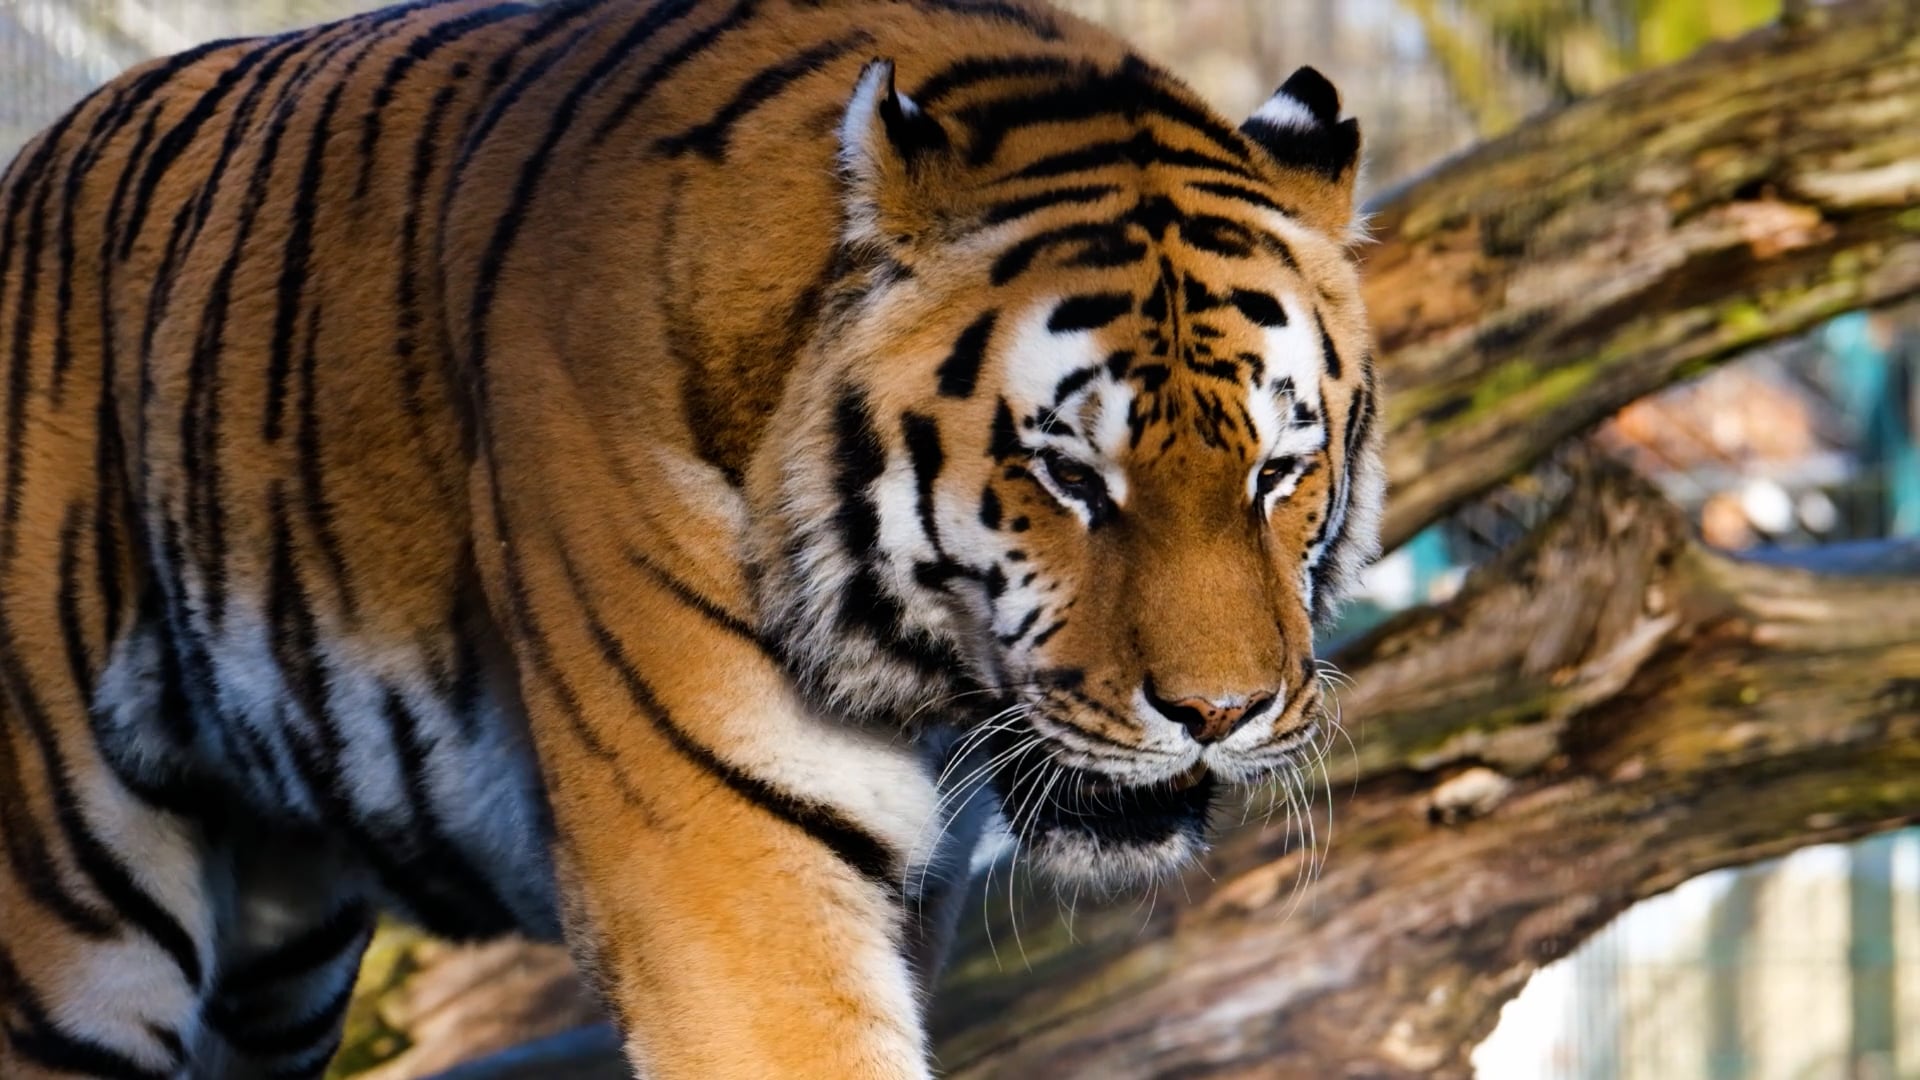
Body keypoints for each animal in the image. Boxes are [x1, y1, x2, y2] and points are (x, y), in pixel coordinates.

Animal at [0, 0, 1381, 1075]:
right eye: (1071, 476)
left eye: (1278, 471)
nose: (1221, 715)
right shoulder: (727, 872)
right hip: (65, 924)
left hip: (277, 953)